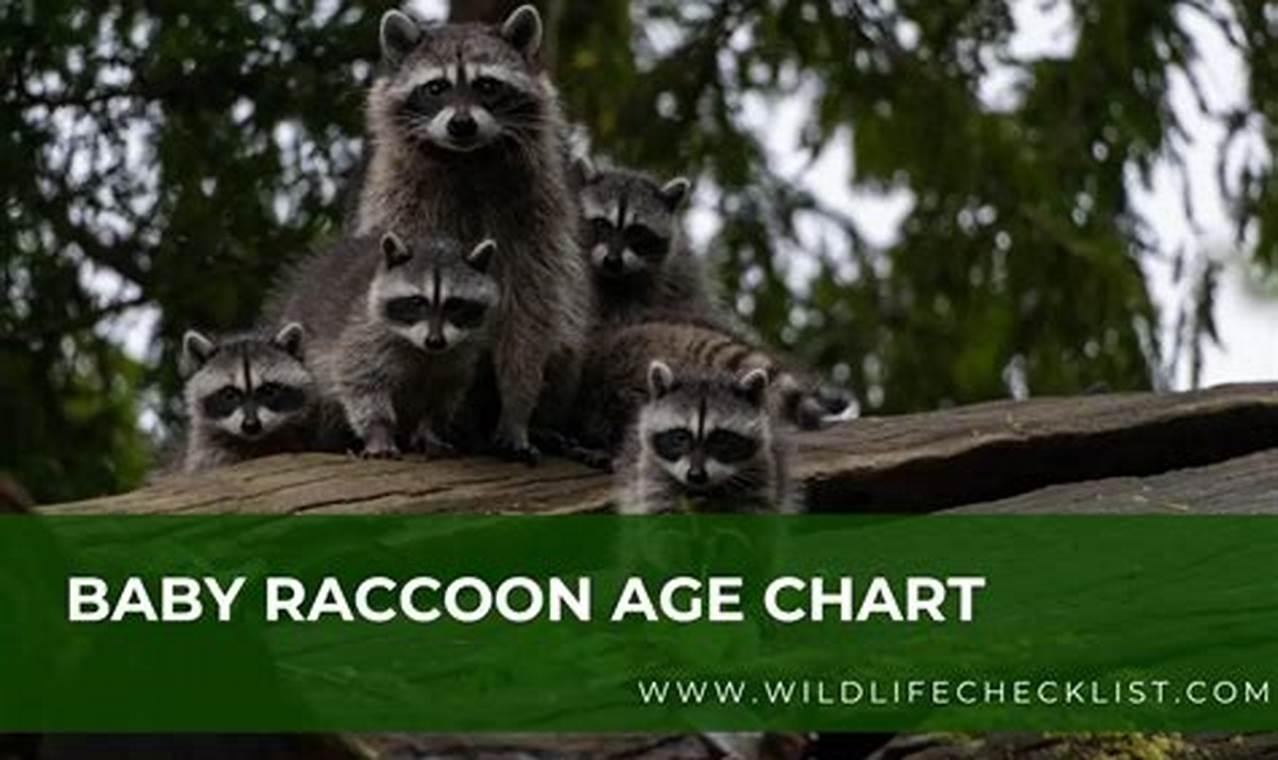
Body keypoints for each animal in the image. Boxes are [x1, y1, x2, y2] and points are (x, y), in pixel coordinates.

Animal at [264, 233, 499, 459]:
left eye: (455, 305)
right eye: (417, 302)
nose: (435, 341)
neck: (422, 350)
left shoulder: (460, 353)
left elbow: (443, 393)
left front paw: (431, 431)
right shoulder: (364, 332)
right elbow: (362, 381)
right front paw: (379, 431)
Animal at [356, 5, 590, 464]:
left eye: (486, 85)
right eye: (436, 87)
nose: (461, 124)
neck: (467, 160)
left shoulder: (534, 221)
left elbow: (530, 313)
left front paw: (518, 409)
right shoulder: (402, 206)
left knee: (564, 333)